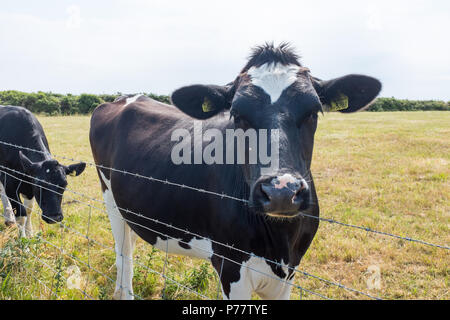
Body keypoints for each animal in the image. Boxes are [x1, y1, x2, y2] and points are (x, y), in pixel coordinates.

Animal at [0, 106, 85, 236]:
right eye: (39, 184)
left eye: (64, 185)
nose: (54, 217)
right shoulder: (9, 182)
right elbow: (21, 214)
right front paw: (23, 239)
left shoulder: (29, 187)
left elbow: (29, 210)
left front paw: (29, 233)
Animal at [89, 43, 382, 300]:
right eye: (237, 114)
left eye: (314, 111)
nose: (281, 192)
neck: (280, 244)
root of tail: (123, 99)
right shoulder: (231, 266)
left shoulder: (289, 273)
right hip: (109, 197)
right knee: (123, 253)